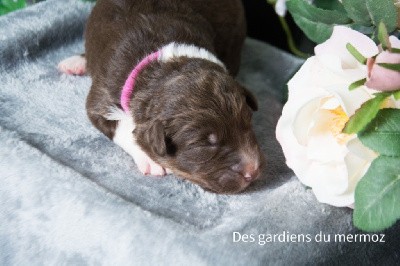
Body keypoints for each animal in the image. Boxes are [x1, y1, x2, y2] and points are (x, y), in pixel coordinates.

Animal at [58, 0, 266, 192]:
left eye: (248, 122)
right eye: (205, 144)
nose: (254, 171)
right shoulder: (101, 98)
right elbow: (123, 128)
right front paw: (149, 159)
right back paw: (76, 62)